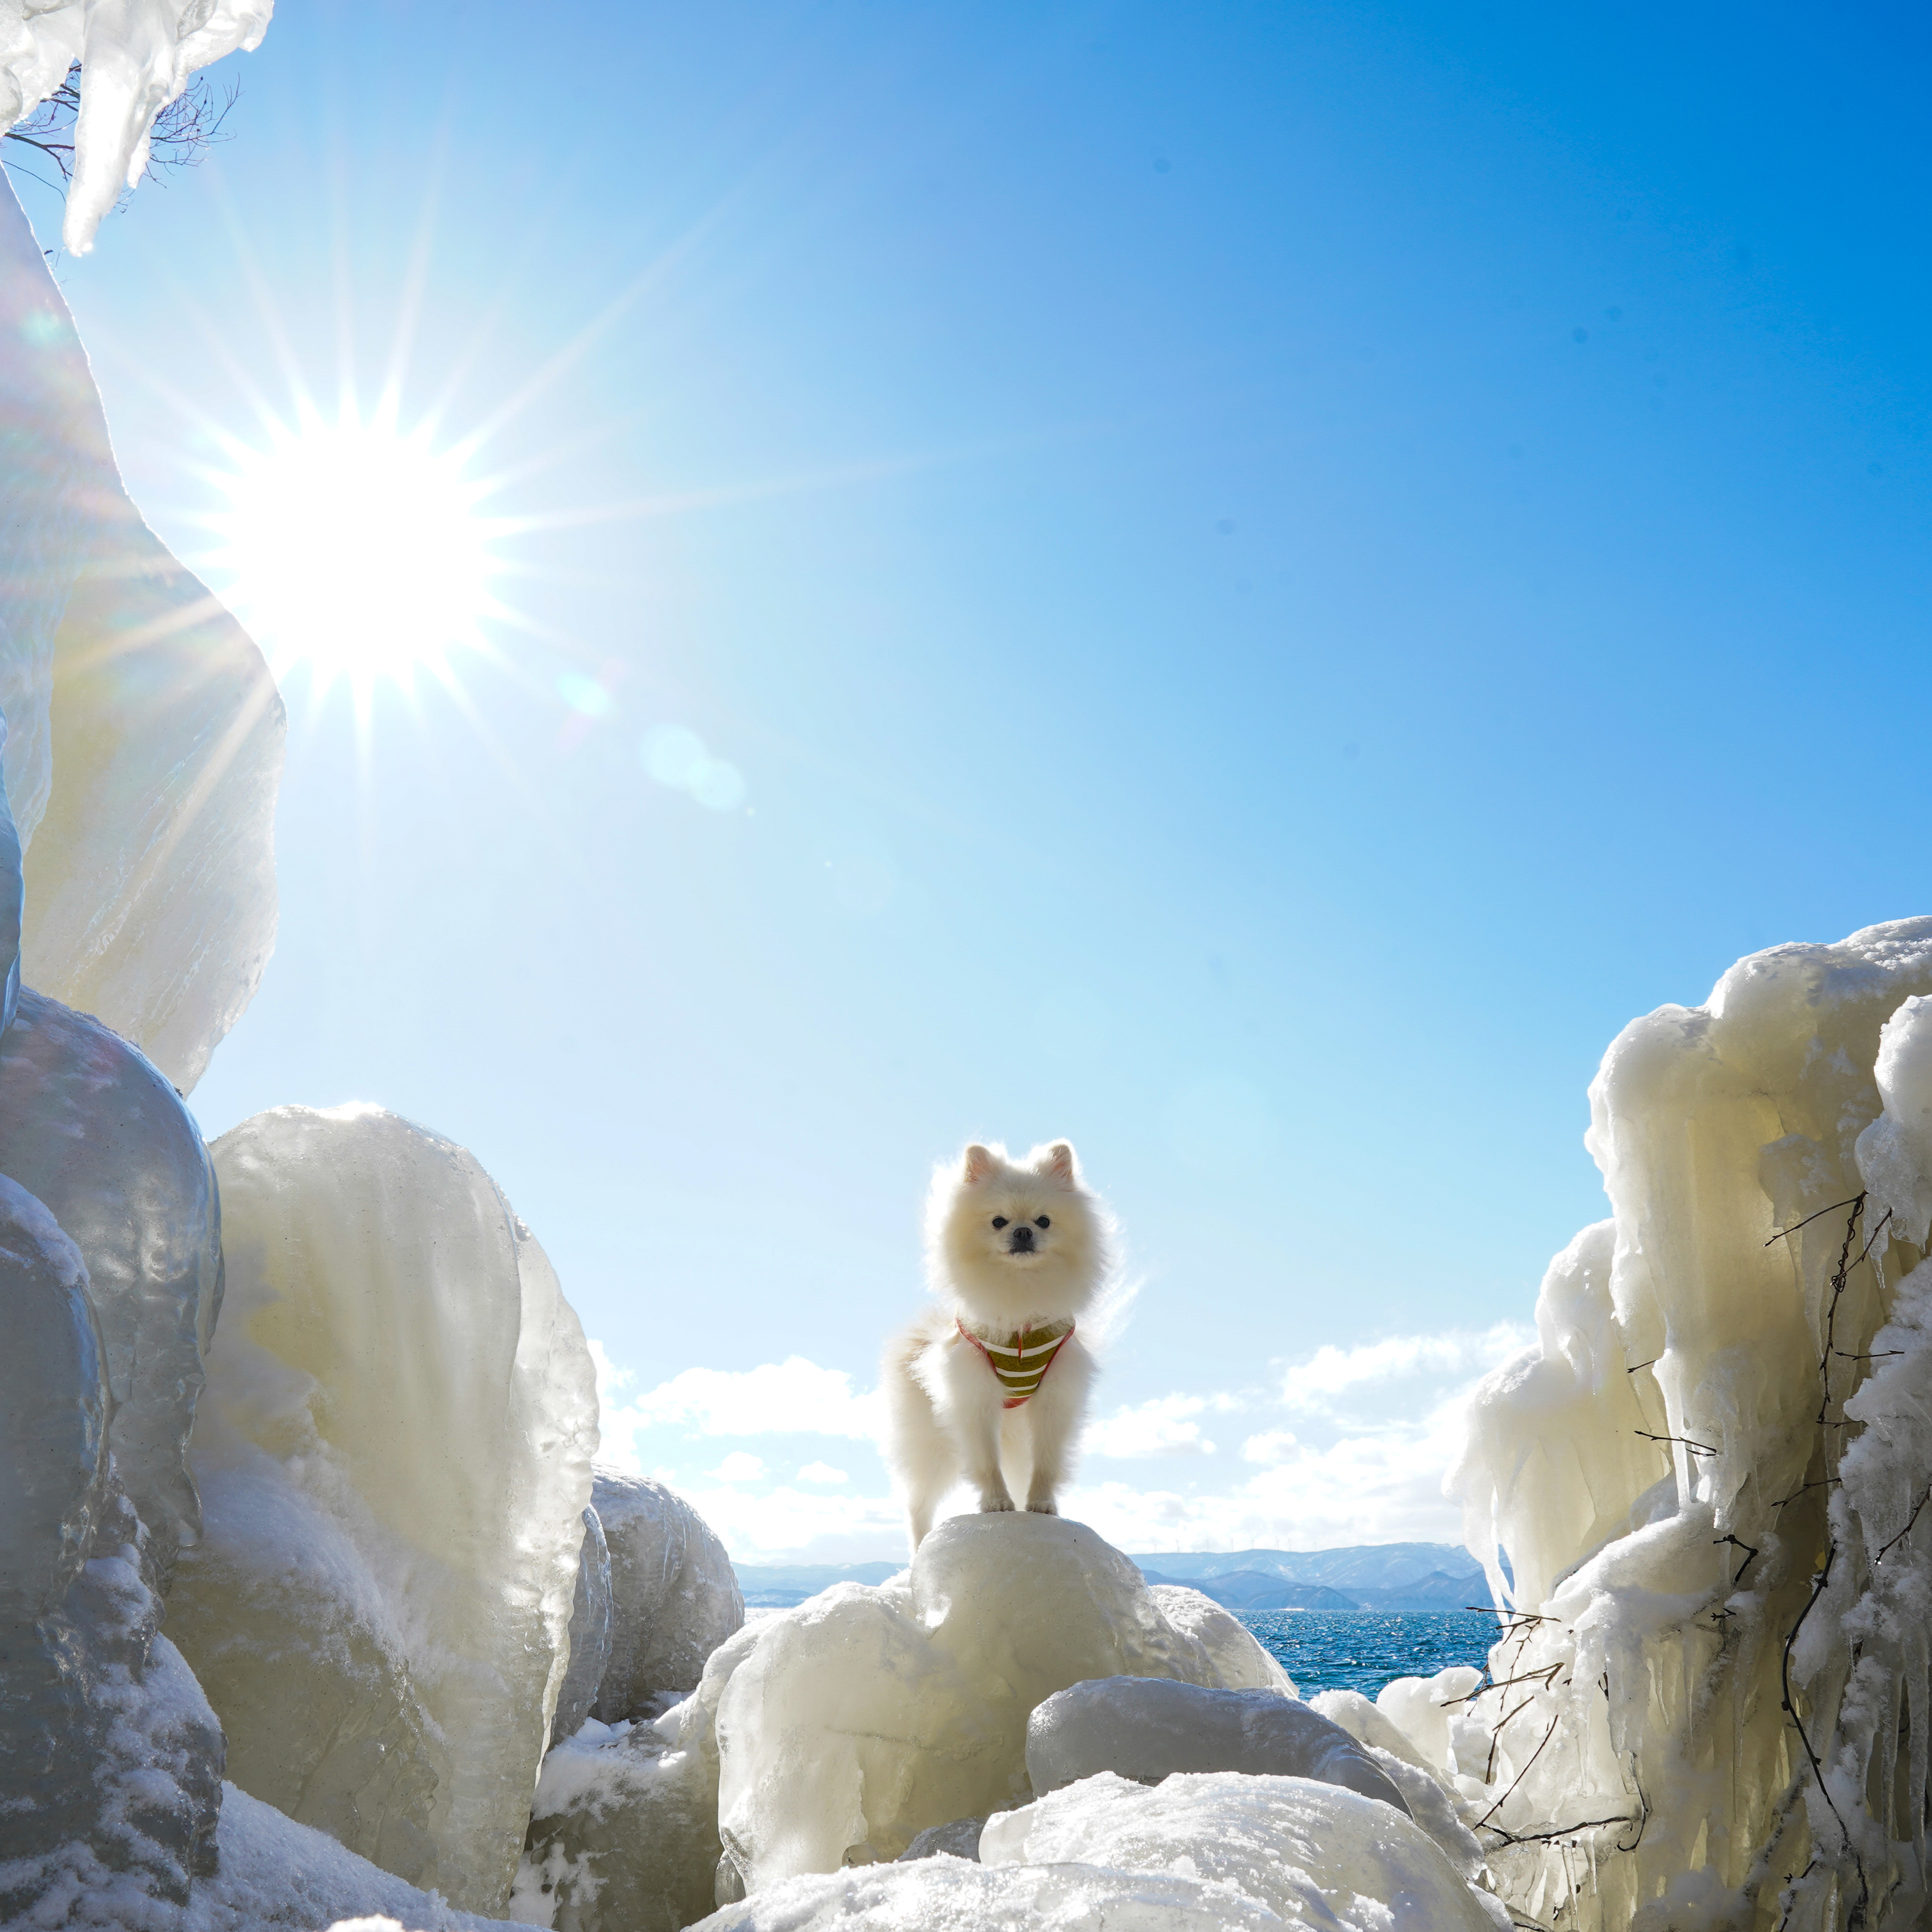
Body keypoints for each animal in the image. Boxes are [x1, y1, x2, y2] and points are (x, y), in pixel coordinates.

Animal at [885, 1136, 1112, 1545]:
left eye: (1044, 1221)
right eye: (998, 1221)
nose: (1023, 1232)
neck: (1018, 1298)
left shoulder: (1056, 1396)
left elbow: (1047, 1461)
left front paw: (1041, 1504)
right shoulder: (973, 1395)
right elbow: (986, 1462)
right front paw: (996, 1503)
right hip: (930, 1445)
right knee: (919, 1505)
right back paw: (921, 1545)